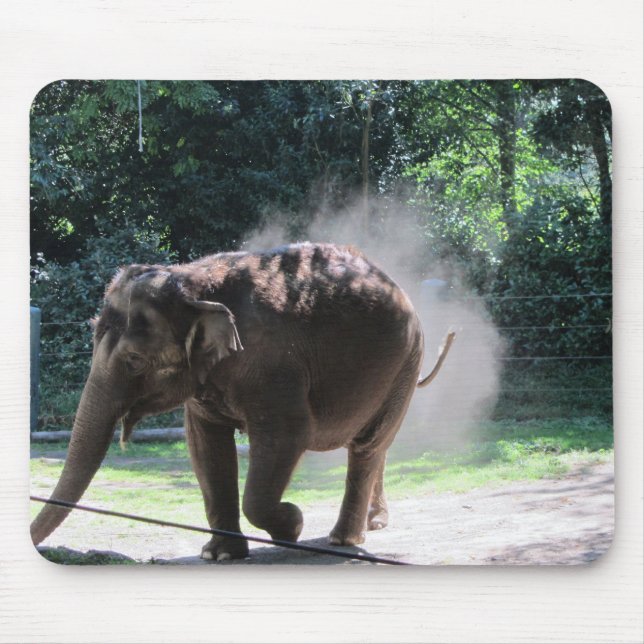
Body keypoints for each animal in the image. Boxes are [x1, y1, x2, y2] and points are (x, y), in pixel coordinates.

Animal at [31, 242, 454, 561]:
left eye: (134, 360)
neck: (194, 282)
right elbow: (205, 446)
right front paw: (219, 554)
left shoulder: (273, 368)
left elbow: (287, 436)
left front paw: (292, 525)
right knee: (372, 446)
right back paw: (369, 524)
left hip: (404, 364)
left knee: (368, 445)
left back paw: (344, 540)